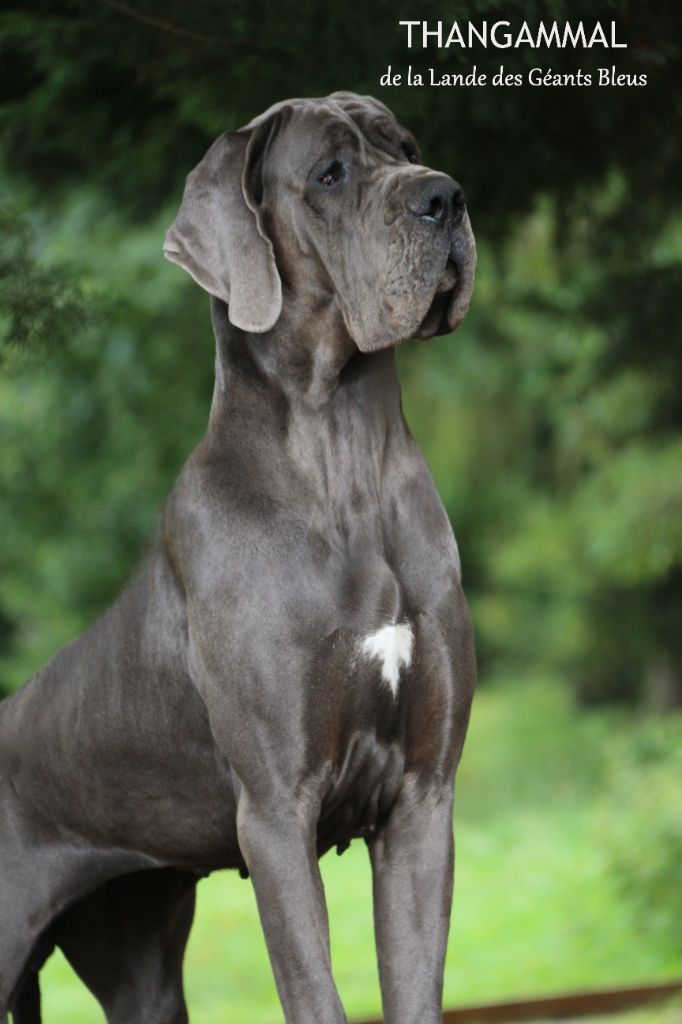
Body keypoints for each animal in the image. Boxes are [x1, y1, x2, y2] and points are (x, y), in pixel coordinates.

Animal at [0, 92, 475, 1019]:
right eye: (330, 173)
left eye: (407, 145)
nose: (446, 195)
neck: (342, 461)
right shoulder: (276, 814)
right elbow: (315, 992)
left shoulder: (422, 799)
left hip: (136, 953)